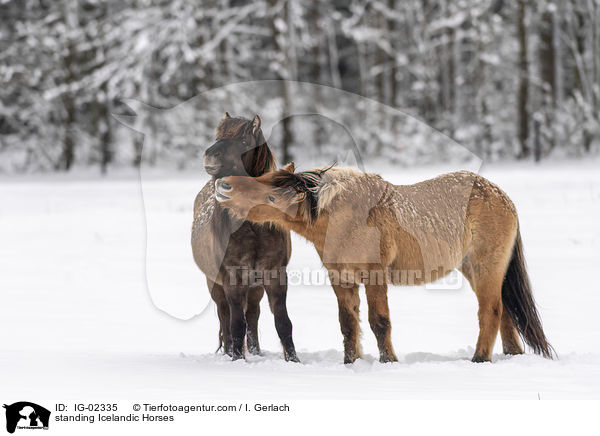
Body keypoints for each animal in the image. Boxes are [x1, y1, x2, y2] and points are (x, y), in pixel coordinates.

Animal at [192, 115, 298, 362]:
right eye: (218, 136)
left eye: (243, 141)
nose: (210, 155)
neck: (253, 228)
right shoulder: (233, 279)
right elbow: (236, 324)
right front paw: (238, 360)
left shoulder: (275, 275)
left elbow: (283, 322)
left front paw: (294, 360)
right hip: (216, 285)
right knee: (226, 317)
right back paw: (231, 353)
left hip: (254, 288)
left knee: (253, 315)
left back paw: (256, 352)